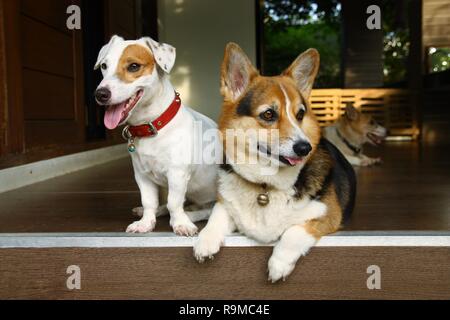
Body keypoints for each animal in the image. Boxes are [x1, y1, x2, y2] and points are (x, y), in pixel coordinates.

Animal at [96, 35, 219, 235]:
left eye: (134, 66)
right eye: (104, 66)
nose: (100, 94)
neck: (151, 126)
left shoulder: (177, 174)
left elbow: (174, 203)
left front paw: (180, 223)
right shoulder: (142, 176)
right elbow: (150, 202)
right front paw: (146, 222)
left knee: (208, 210)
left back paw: (191, 215)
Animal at [192, 43, 356, 282]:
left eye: (300, 114)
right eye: (269, 114)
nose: (305, 148)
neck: (266, 184)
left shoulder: (328, 214)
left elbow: (294, 231)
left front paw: (279, 263)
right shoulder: (225, 204)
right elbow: (217, 215)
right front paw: (205, 241)